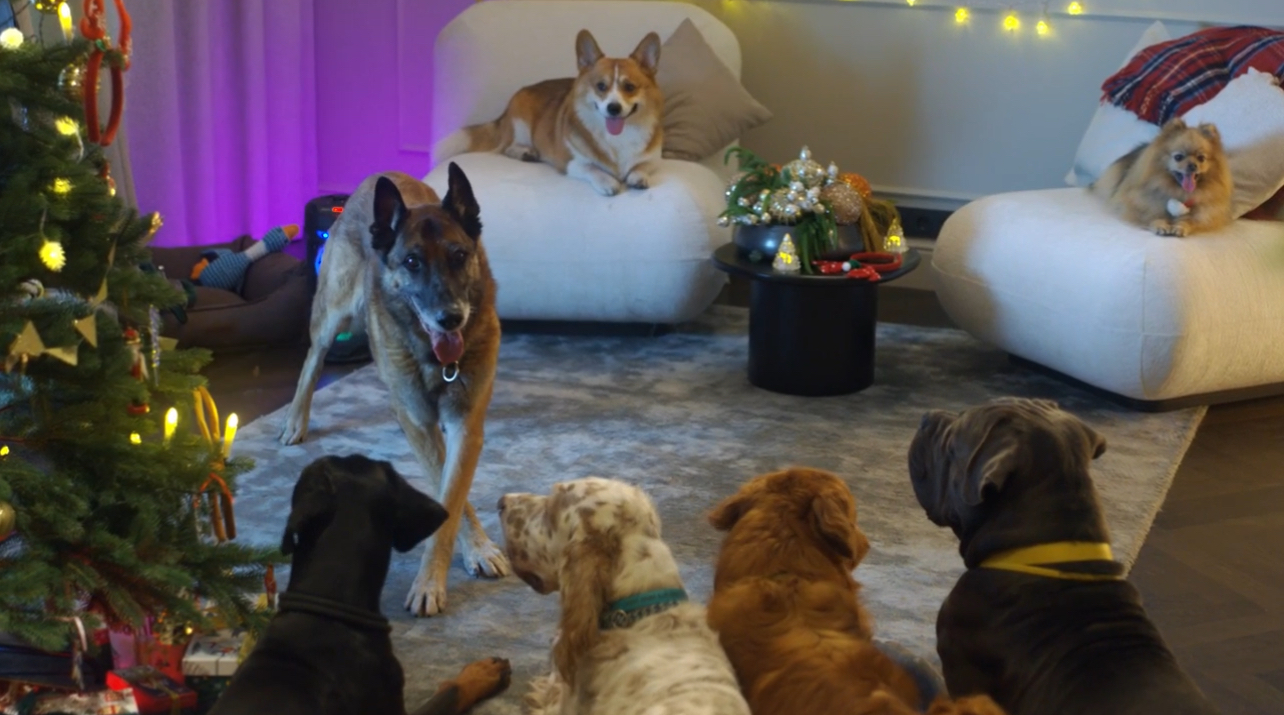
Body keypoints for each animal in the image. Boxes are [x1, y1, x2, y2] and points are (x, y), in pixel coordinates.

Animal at [279, 167, 510, 617]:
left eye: (459, 256)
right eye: (412, 262)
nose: (451, 319)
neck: (439, 361)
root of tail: (376, 178)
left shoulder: (466, 427)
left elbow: (453, 493)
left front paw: (471, 554)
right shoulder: (422, 424)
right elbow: (447, 500)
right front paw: (435, 578)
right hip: (334, 315)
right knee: (313, 360)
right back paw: (296, 419)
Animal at [434, 29, 664, 197]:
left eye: (630, 87)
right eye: (601, 86)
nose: (613, 108)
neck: (617, 138)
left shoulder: (653, 159)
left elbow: (642, 165)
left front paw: (638, 176)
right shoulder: (569, 162)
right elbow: (591, 168)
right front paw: (608, 181)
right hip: (521, 125)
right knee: (507, 147)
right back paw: (526, 152)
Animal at [1091, 118, 1233, 237]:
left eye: (1201, 158)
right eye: (1178, 157)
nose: (1193, 165)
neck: (1179, 192)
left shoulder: (1205, 214)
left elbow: (1190, 220)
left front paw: (1181, 226)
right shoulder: (1139, 206)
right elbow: (1152, 216)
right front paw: (1161, 225)